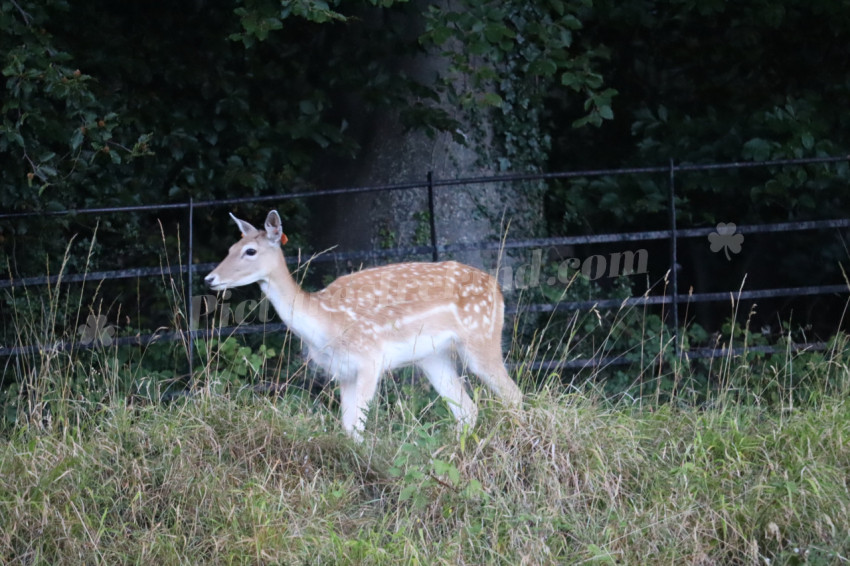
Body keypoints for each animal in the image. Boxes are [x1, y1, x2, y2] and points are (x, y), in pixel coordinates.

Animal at [205, 211, 520, 442]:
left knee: (513, 396)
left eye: (250, 251)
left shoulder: (371, 359)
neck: (324, 322)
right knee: (467, 410)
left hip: (481, 337)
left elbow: (357, 429)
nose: (210, 278)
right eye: (230, 248)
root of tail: (498, 289)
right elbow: (347, 429)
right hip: (432, 357)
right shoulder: (343, 372)